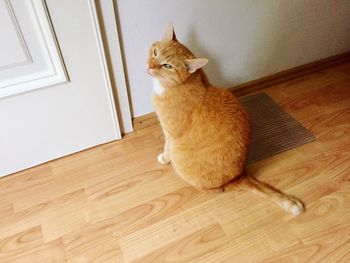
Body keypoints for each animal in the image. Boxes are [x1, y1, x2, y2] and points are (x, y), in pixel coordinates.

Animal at [146, 23, 304, 216]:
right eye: (155, 52)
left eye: (167, 65)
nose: (149, 65)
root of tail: (238, 176)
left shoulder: (171, 133)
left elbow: (167, 147)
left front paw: (164, 158)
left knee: (216, 190)